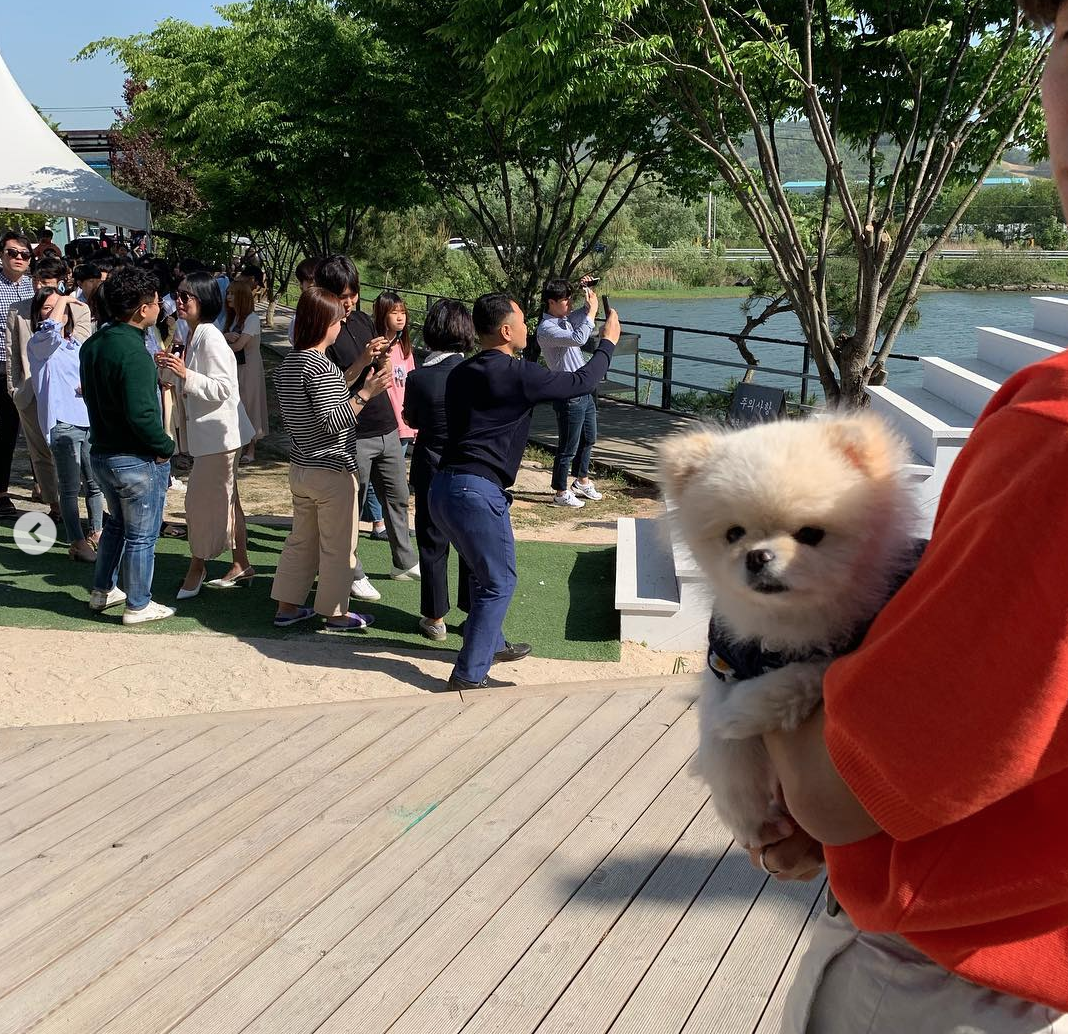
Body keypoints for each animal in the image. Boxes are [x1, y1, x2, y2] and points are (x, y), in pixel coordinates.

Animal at [657, 412, 918, 850]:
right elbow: (722, 751)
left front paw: (740, 713)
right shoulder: (724, 661)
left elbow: (797, 678)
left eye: (810, 534)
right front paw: (748, 817)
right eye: (733, 533)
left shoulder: (841, 650)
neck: (786, 625)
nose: (757, 556)